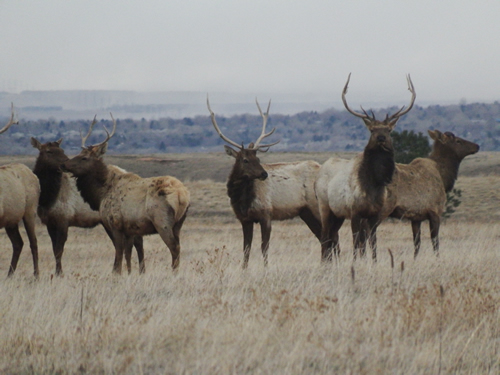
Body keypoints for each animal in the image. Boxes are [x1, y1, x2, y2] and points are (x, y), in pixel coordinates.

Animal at [61, 114, 189, 274]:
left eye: (84, 157)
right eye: (78, 153)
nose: (63, 164)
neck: (101, 194)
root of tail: (182, 195)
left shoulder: (115, 223)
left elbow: (119, 251)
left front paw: (116, 273)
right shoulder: (130, 228)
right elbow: (129, 252)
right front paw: (130, 273)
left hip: (162, 221)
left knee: (174, 247)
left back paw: (173, 273)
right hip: (178, 223)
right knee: (178, 245)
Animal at [206, 97, 320, 268]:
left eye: (258, 158)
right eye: (245, 160)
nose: (264, 174)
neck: (243, 200)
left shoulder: (266, 214)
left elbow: (264, 247)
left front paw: (266, 269)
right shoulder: (245, 219)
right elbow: (246, 248)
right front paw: (244, 270)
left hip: (317, 207)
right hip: (306, 212)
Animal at [314, 73, 416, 262]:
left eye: (389, 130)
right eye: (372, 130)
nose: (381, 137)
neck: (373, 184)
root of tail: (316, 178)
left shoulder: (374, 214)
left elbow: (372, 241)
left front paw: (373, 262)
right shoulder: (355, 211)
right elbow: (357, 242)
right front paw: (356, 262)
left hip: (338, 214)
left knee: (332, 236)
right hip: (324, 206)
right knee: (325, 237)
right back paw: (324, 263)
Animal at [358, 130, 478, 258]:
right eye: (458, 141)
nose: (477, 146)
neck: (444, 177)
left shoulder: (416, 217)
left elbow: (417, 242)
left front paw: (415, 259)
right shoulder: (435, 211)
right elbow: (435, 241)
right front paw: (437, 258)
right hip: (383, 208)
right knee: (368, 231)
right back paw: (372, 257)